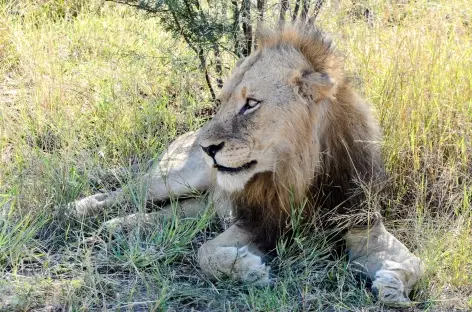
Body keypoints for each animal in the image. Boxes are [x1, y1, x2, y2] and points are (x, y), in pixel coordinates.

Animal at [69, 25, 424, 308]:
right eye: (223, 100)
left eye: (251, 103)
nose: (206, 147)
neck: (298, 174)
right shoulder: (254, 223)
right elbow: (205, 253)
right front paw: (252, 272)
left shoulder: (364, 224)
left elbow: (417, 263)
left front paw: (392, 286)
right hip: (175, 178)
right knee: (123, 192)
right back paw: (80, 209)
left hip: (200, 204)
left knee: (168, 213)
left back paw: (119, 226)